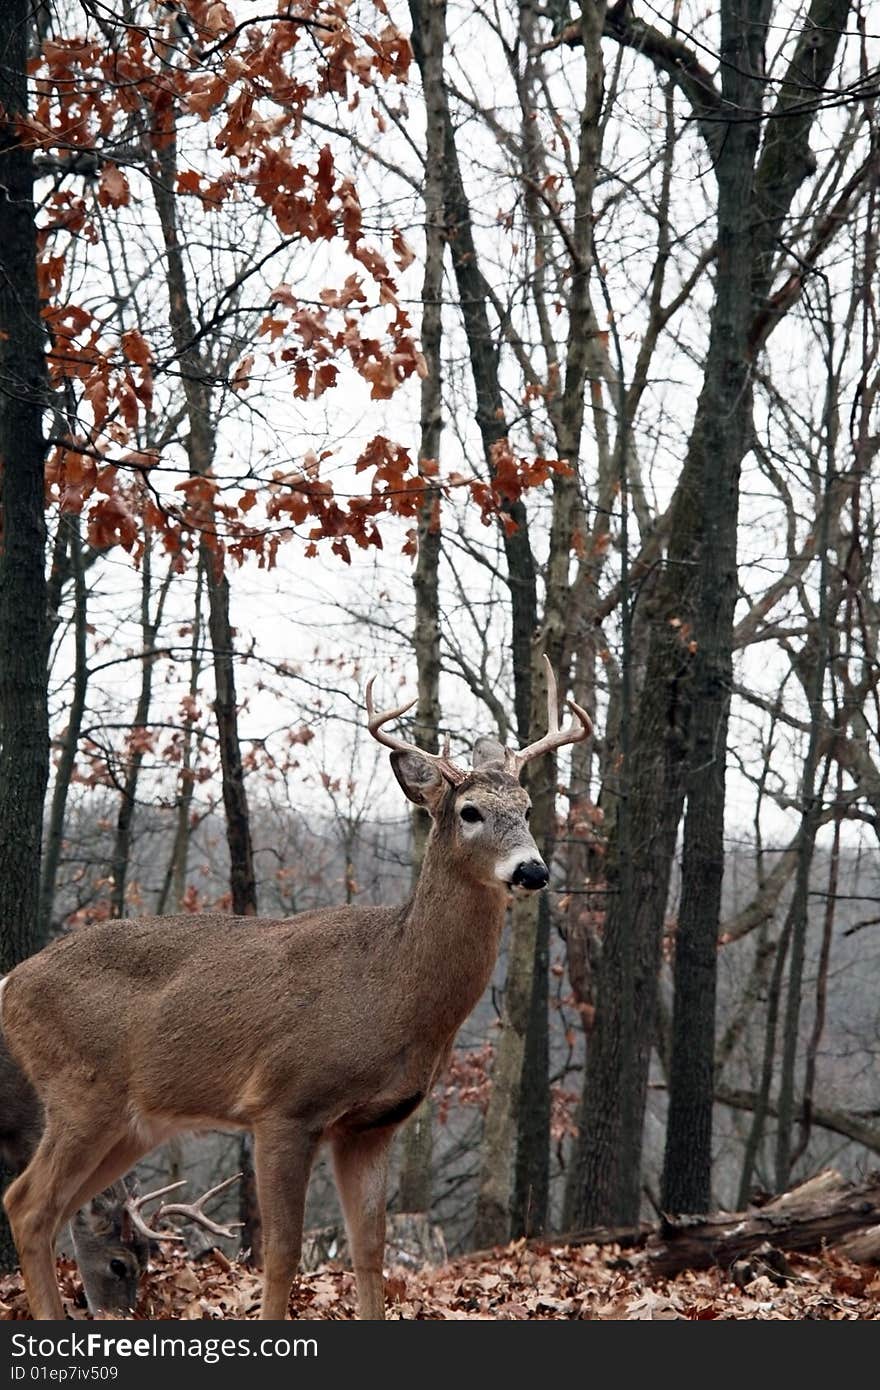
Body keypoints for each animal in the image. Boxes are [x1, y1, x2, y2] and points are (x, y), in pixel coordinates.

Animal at [1, 656, 589, 1317]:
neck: (391, 985)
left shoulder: (371, 1125)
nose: (532, 869)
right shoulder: (283, 1103)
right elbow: (281, 1254)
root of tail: (11, 982)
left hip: (131, 1123)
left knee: (53, 1210)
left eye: (528, 808)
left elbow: (370, 1254)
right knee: (27, 1205)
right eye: (470, 812)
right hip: (81, 1090)